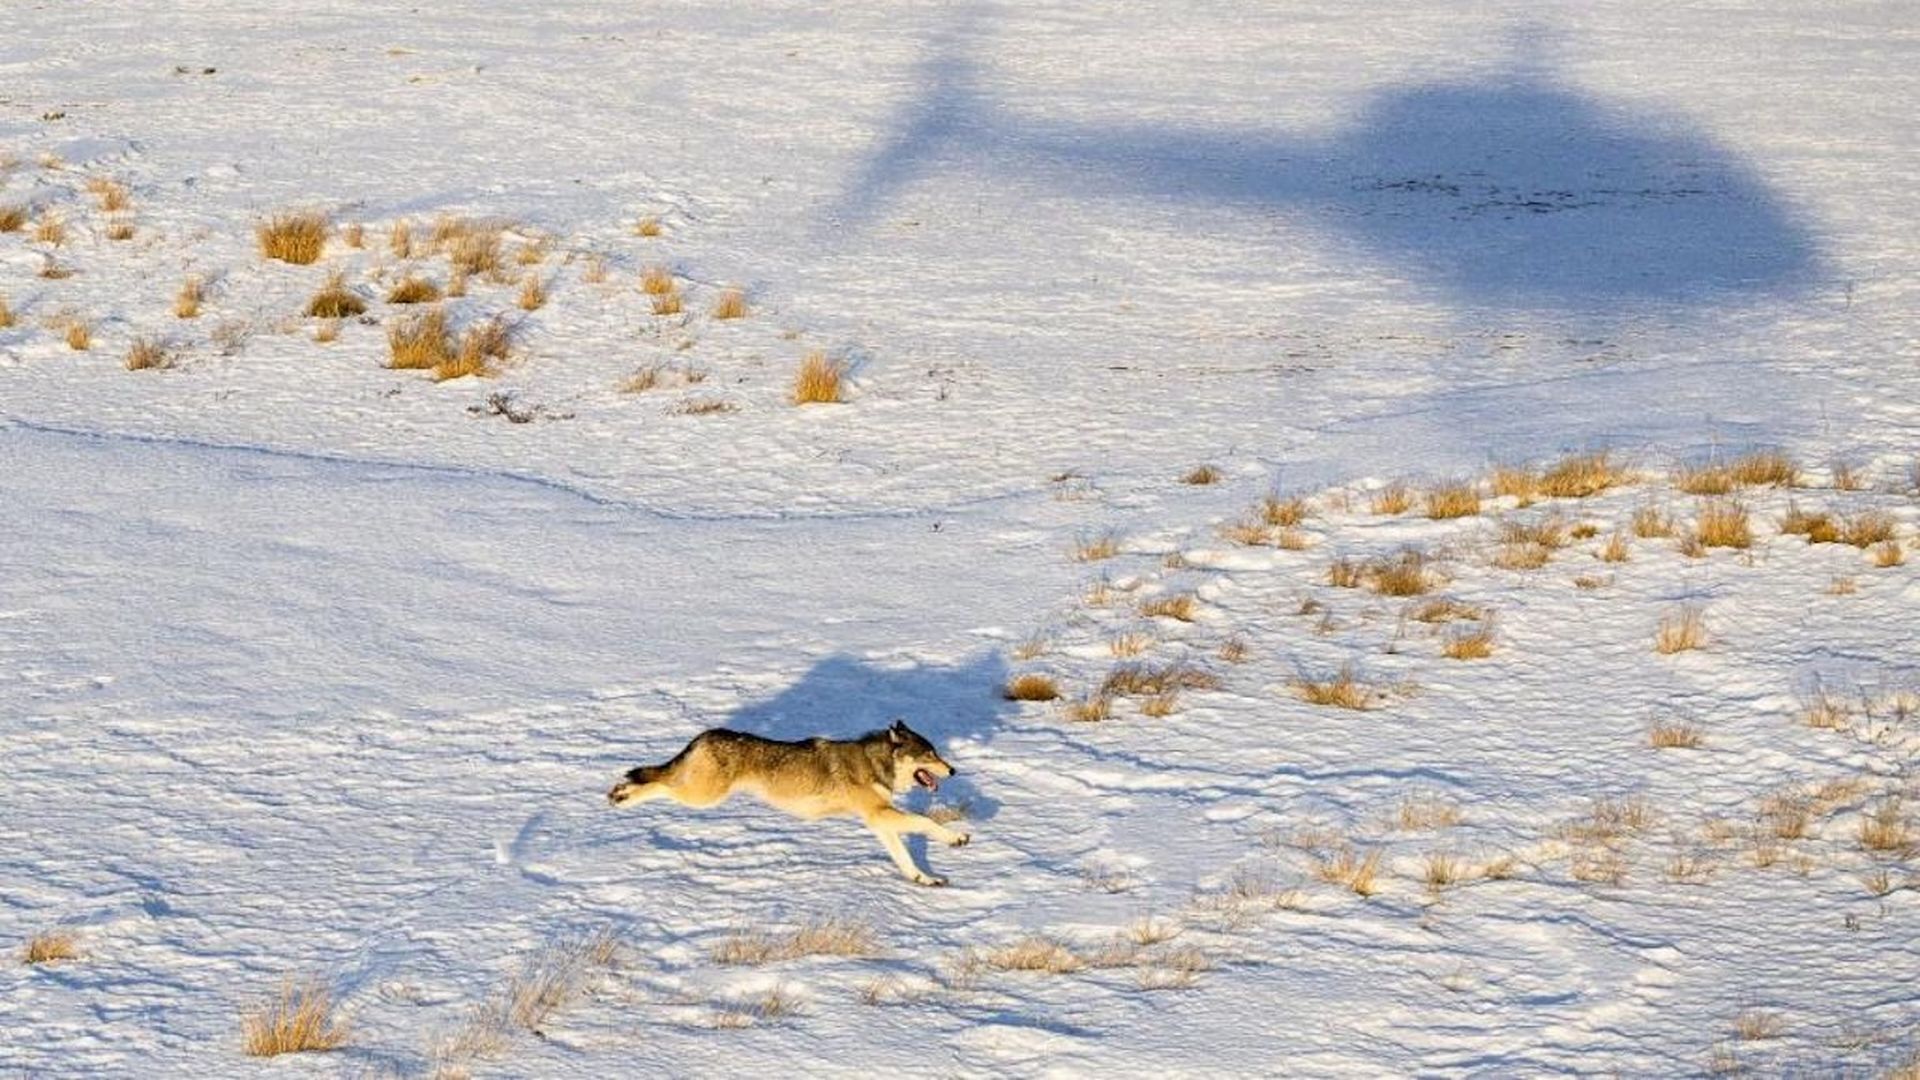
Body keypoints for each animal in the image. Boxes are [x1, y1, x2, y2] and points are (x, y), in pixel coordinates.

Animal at [607, 720, 970, 886]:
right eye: (930, 754)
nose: (953, 770)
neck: (875, 763)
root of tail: (704, 735)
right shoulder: (879, 814)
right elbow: (925, 822)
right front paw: (957, 838)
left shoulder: (878, 821)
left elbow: (905, 858)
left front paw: (925, 879)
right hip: (701, 796)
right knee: (657, 783)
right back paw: (621, 796)